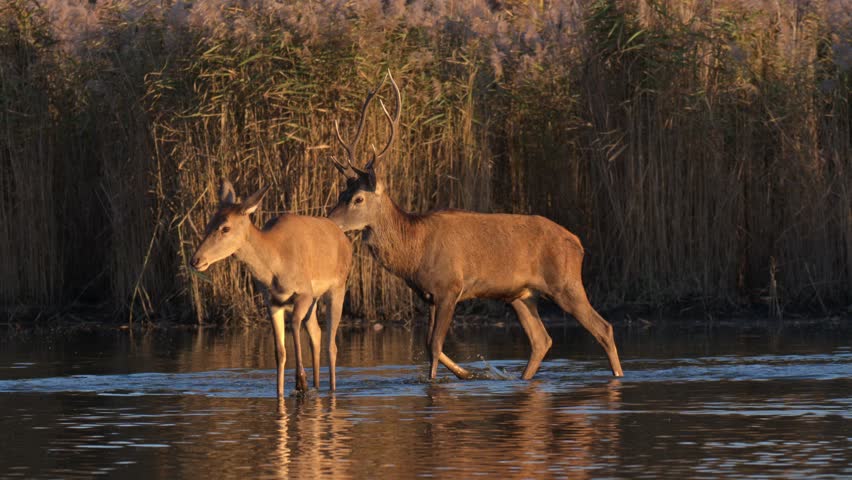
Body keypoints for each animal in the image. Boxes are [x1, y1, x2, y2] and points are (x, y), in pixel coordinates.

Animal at [190, 180, 352, 397]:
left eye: (225, 228)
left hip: (338, 286)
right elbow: (280, 351)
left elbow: (294, 325)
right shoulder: (272, 301)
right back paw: (316, 386)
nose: (196, 260)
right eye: (208, 223)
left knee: (331, 345)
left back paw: (330, 388)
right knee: (316, 334)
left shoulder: (304, 292)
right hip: (315, 300)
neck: (276, 267)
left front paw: (300, 382)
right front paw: (281, 391)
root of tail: (346, 241)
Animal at [326, 72, 623, 380]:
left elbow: (434, 345)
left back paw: (617, 376)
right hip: (521, 295)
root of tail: (577, 243)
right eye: (341, 193)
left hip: (566, 282)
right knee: (542, 340)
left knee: (603, 328)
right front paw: (467, 374)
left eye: (358, 198)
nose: (329, 221)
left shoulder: (450, 287)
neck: (414, 249)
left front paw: (439, 381)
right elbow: (428, 344)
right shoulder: (429, 295)